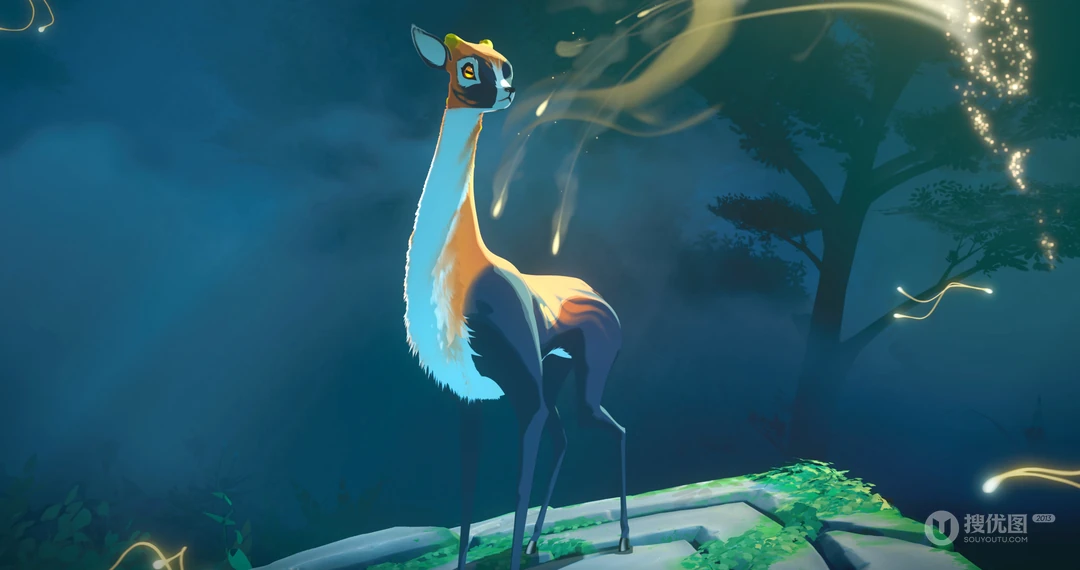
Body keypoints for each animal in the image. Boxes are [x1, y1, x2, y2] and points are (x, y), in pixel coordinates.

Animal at [403, 25, 631, 570]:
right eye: (467, 69)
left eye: (505, 66)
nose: (507, 92)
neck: (460, 270)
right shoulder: (468, 398)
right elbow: (467, 496)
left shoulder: (522, 397)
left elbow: (518, 487)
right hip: (557, 370)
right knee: (566, 436)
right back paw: (535, 545)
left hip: (582, 376)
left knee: (611, 429)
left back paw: (622, 540)